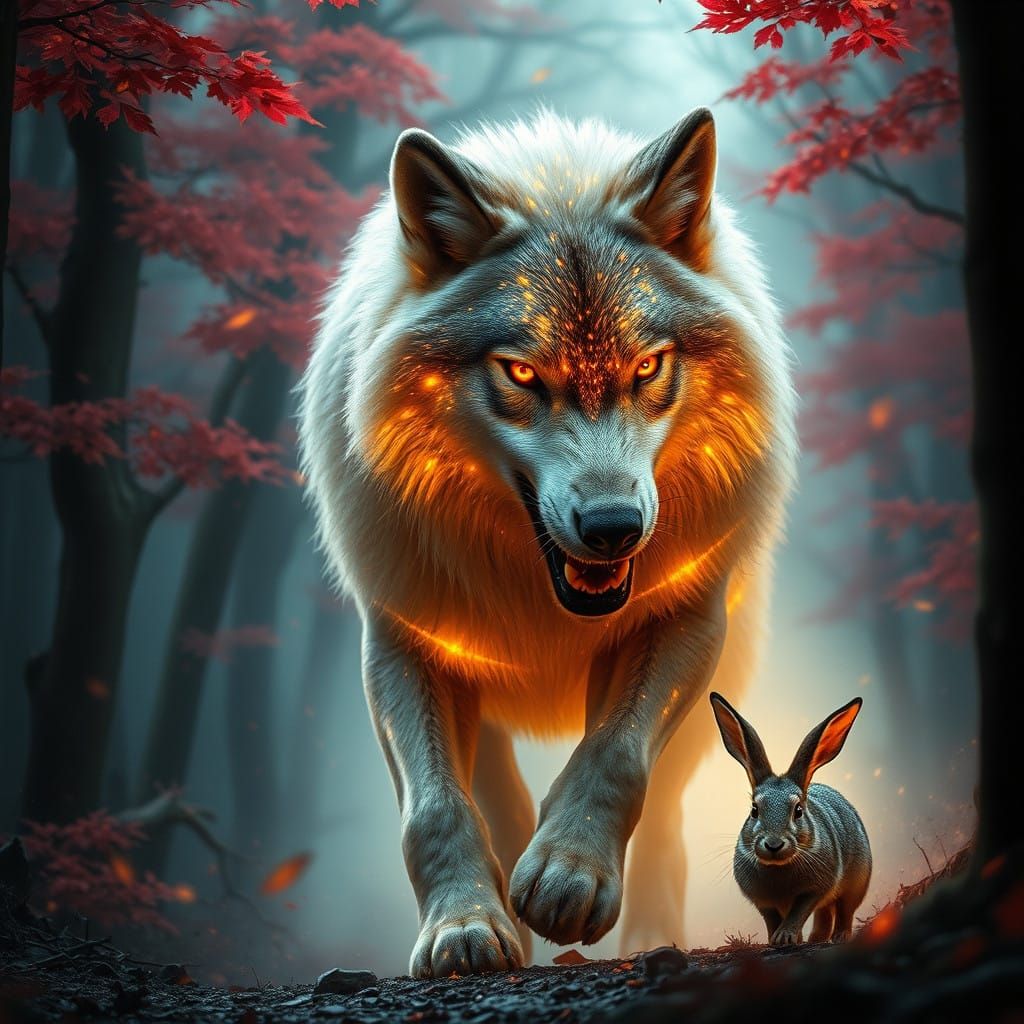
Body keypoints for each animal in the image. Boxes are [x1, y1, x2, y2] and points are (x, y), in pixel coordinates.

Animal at [299, 108, 797, 977]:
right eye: (522, 374)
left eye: (649, 367)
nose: (613, 527)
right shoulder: (403, 638)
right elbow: (436, 808)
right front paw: (466, 926)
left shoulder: (685, 618)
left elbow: (614, 757)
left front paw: (569, 876)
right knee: (497, 796)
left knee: (666, 816)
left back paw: (650, 933)